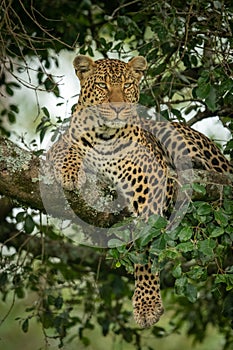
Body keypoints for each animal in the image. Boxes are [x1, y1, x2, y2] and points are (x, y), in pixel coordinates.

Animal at [46, 54, 232, 328]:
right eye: (102, 85)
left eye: (127, 85)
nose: (117, 108)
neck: (105, 136)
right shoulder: (58, 147)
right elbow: (68, 150)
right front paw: (71, 173)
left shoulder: (151, 182)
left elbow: (146, 246)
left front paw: (147, 304)